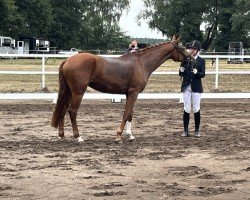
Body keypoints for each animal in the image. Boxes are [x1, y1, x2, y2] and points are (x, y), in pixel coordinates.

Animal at [51, 36, 191, 142]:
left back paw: (62, 135)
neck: (141, 63)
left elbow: (130, 114)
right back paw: (78, 137)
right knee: (72, 111)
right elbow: (126, 113)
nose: (191, 58)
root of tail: (68, 60)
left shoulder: (130, 94)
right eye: (182, 48)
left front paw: (130, 135)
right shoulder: (134, 93)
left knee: (63, 109)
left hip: (69, 92)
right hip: (78, 92)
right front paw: (118, 136)